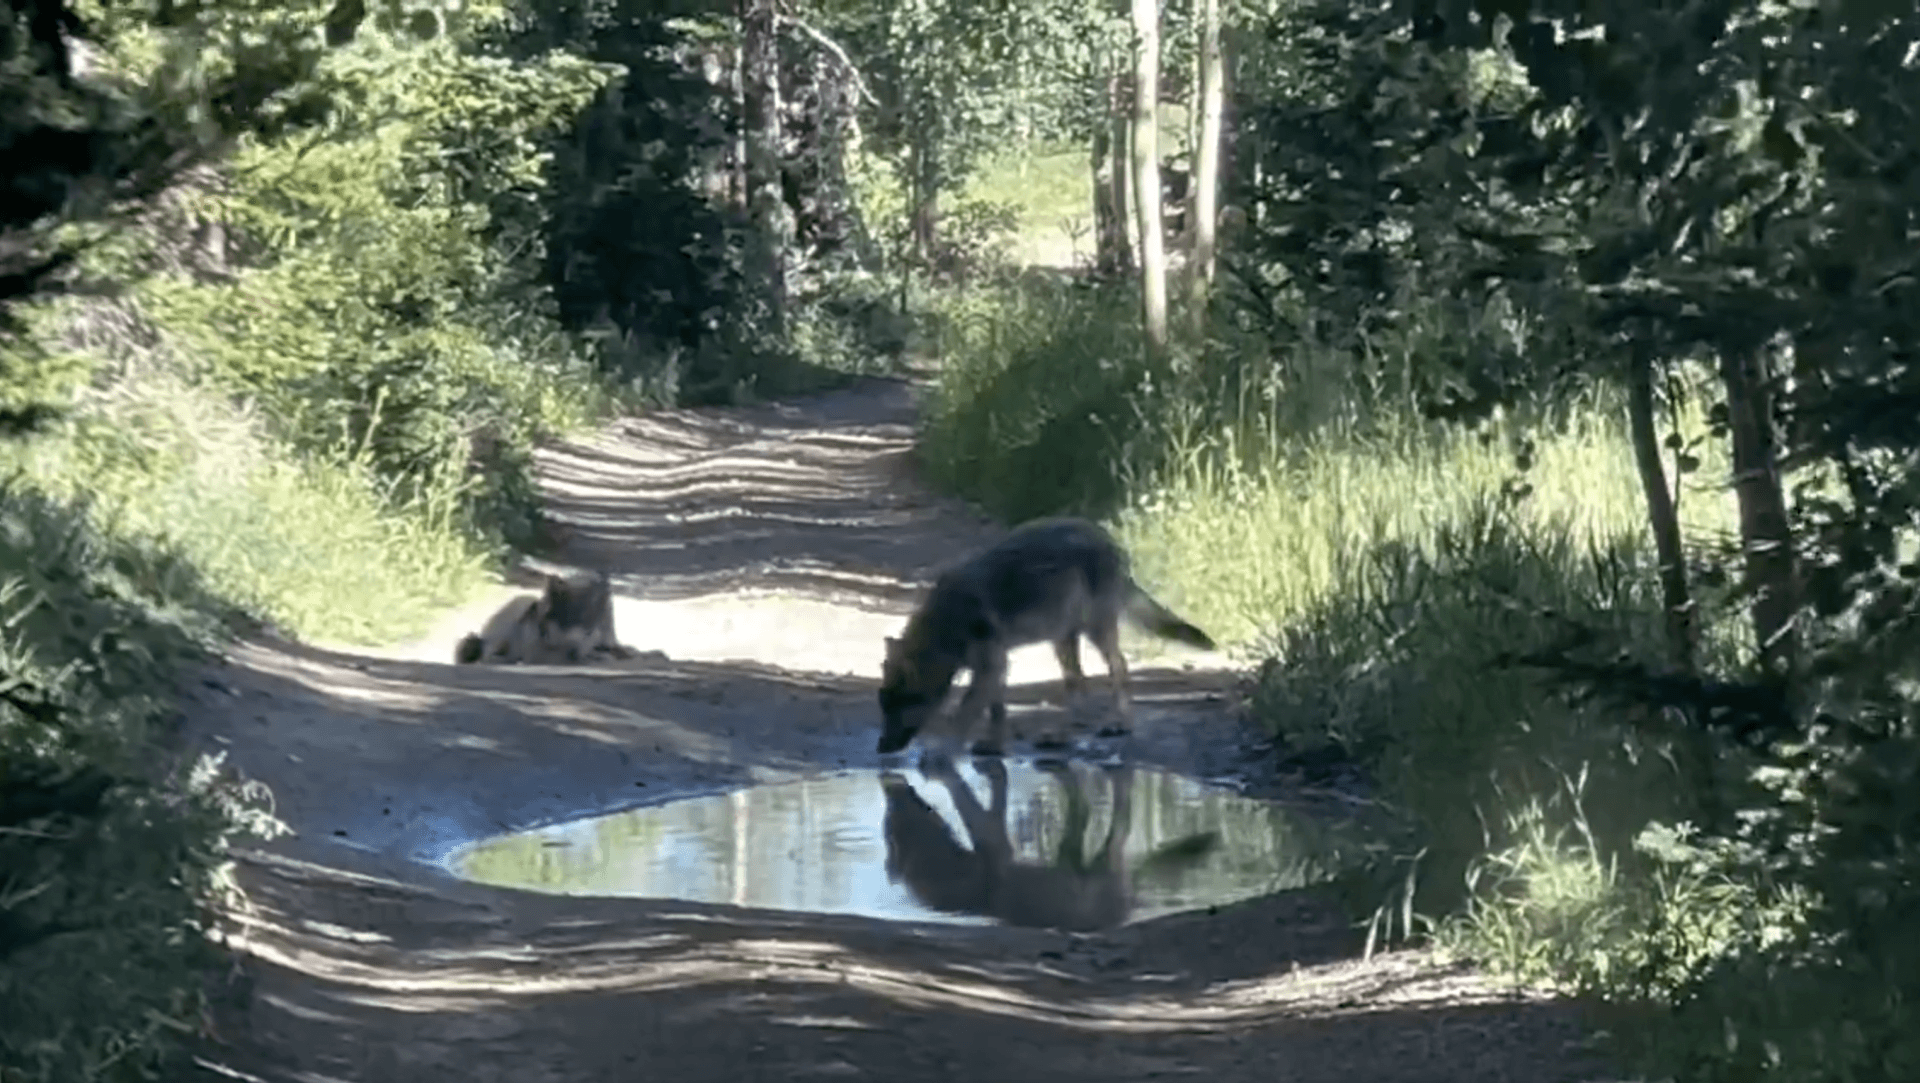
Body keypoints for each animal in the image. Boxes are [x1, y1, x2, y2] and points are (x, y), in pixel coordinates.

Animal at [877, 517, 1216, 757]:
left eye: (896, 707)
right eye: (884, 707)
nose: (880, 749)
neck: (945, 628)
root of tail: (1110, 540)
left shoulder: (990, 666)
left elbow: (964, 714)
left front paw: (941, 755)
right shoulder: (995, 666)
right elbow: (996, 711)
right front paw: (995, 746)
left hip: (1095, 632)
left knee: (1119, 668)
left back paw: (1120, 725)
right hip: (1062, 640)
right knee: (1079, 684)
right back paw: (1061, 737)